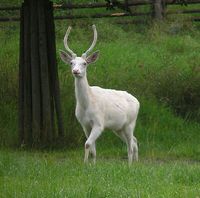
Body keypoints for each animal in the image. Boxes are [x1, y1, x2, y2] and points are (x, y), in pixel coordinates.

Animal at [59, 25, 140, 164]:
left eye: (85, 63)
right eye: (71, 63)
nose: (76, 71)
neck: (87, 105)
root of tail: (138, 101)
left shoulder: (99, 123)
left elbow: (87, 144)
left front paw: (85, 164)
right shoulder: (84, 125)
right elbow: (92, 148)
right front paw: (92, 165)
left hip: (130, 123)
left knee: (130, 144)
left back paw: (129, 165)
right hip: (118, 128)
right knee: (134, 141)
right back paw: (136, 163)